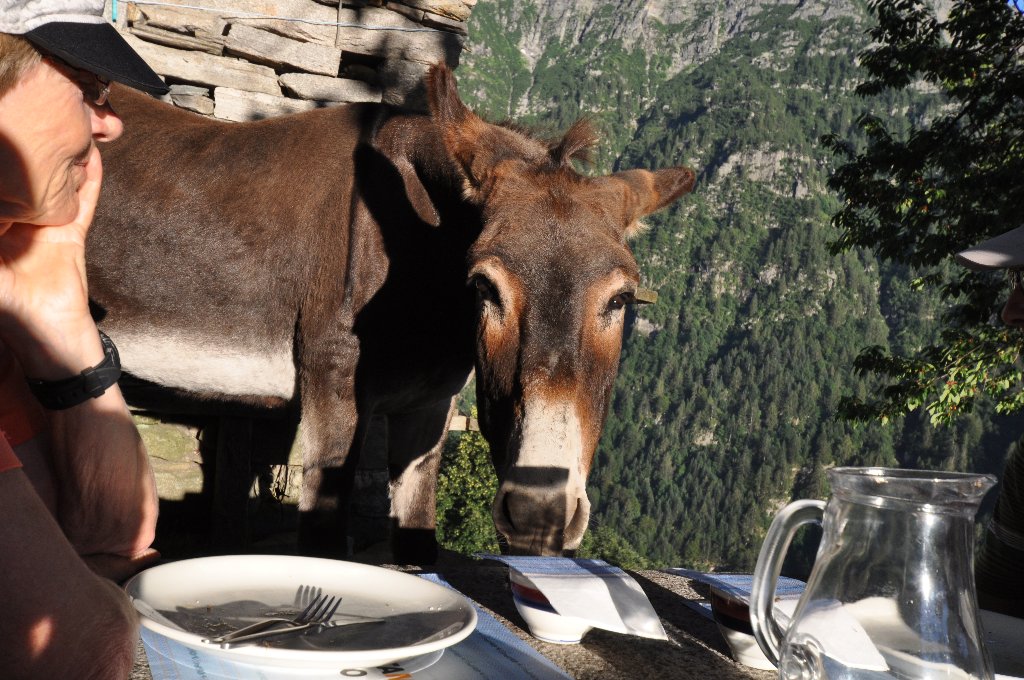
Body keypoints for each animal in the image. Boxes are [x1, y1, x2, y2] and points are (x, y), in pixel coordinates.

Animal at [87, 65, 695, 561]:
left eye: (618, 300)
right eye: (484, 287)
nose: (538, 517)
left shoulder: (430, 407)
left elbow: (419, 538)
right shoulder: (334, 386)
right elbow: (324, 545)